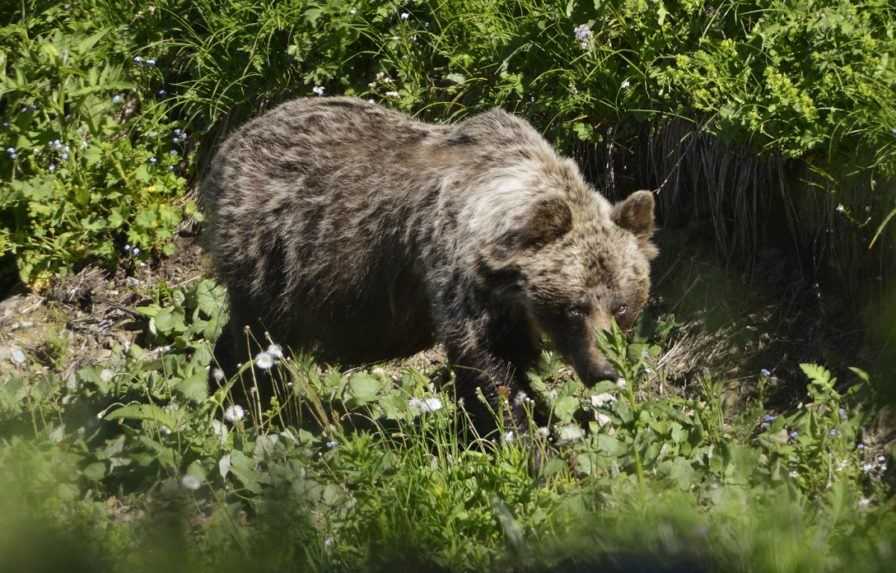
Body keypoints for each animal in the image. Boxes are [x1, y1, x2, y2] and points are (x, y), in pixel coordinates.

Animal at [200, 96, 656, 432]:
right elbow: (489, 368)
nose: (606, 369)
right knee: (255, 340)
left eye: (621, 304)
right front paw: (525, 438)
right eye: (574, 307)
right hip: (274, 255)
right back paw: (244, 403)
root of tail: (229, 144)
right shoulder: (458, 275)